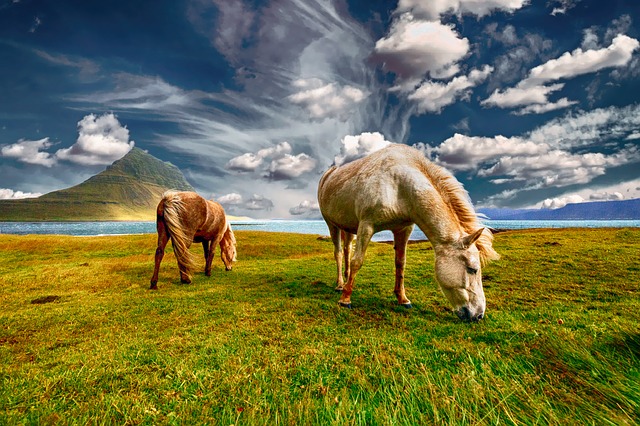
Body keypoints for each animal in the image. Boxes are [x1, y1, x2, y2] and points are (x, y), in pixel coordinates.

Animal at [317, 143, 499, 321]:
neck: (399, 185)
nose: (479, 315)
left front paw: (402, 299)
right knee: (339, 253)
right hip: (332, 224)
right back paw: (340, 285)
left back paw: (346, 280)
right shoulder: (366, 226)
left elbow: (400, 264)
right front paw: (345, 299)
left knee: (347, 250)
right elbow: (357, 261)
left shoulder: (403, 229)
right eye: (472, 269)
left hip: (348, 227)